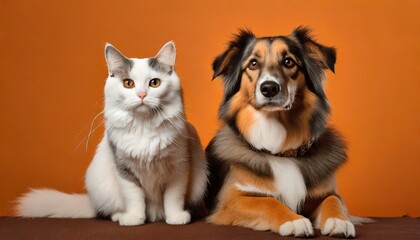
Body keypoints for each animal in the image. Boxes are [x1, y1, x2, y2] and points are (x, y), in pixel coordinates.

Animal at [17, 40, 208, 226]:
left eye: (154, 83)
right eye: (128, 83)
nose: (141, 95)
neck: (143, 126)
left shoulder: (179, 166)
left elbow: (174, 197)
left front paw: (176, 217)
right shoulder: (123, 168)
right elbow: (134, 197)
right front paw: (134, 219)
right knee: (110, 211)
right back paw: (121, 216)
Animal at [205, 26, 366, 238]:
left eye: (289, 61)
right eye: (253, 64)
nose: (269, 88)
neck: (281, 151)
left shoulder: (325, 192)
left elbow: (333, 200)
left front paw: (339, 221)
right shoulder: (230, 200)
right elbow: (268, 202)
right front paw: (294, 221)